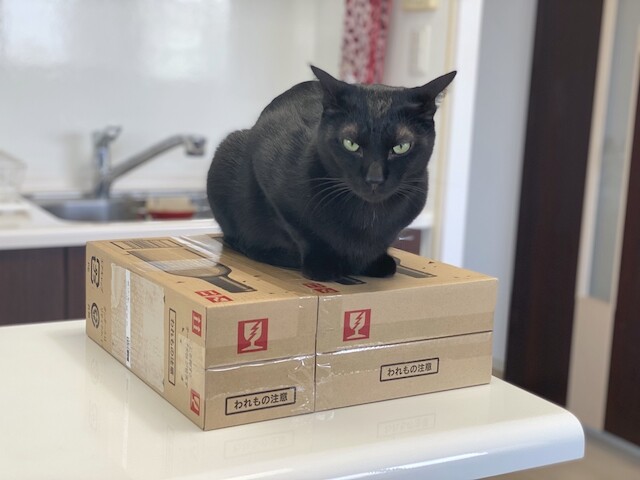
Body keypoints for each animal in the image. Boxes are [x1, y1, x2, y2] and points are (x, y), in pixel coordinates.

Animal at [207, 66, 456, 281]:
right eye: (351, 144)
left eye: (401, 147)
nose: (374, 179)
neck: (368, 216)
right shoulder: (273, 182)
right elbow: (302, 231)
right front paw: (323, 265)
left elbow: (385, 240)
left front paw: (375, 261)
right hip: (226, 151)